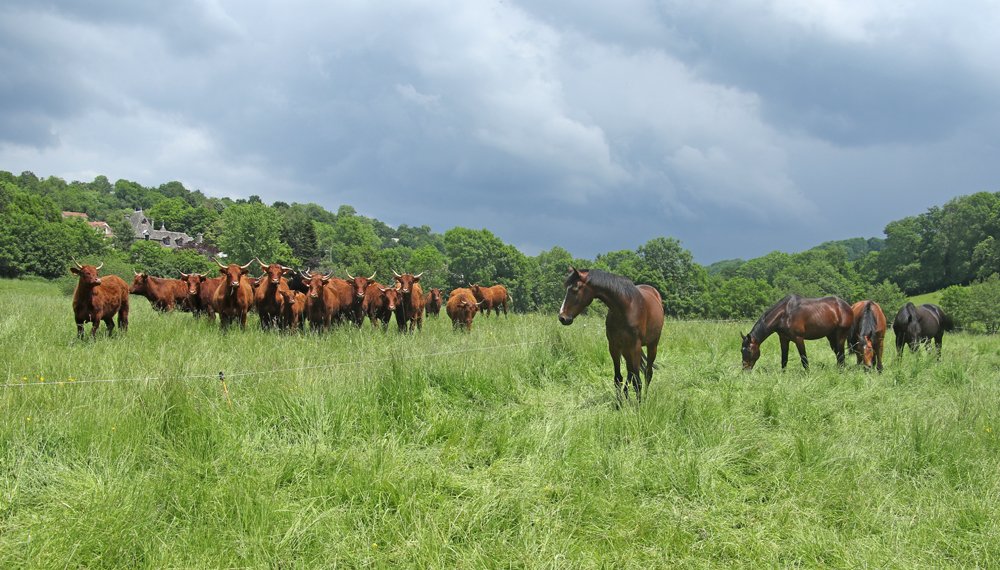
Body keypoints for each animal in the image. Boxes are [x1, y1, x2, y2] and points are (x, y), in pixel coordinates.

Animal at [558, 267, 664, 403]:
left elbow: (637, 381)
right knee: (630, 372)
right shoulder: (614, 346)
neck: (625, 308)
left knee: (647, 373)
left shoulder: (635, 346)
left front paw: (639, 405)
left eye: (575, 289)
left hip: (652, 345)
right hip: (626, 350)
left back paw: (644, 398)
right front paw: (619, 404)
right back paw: (626, 395)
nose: (562, 318)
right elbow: (618, 378)